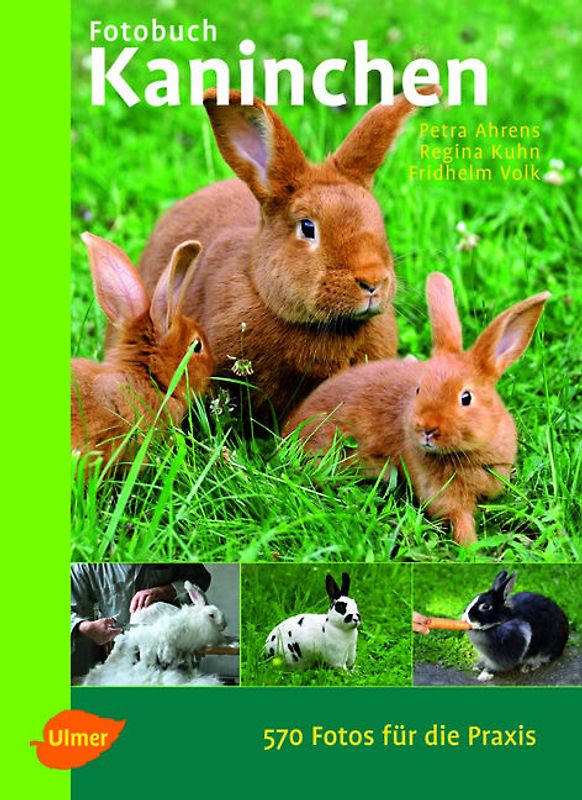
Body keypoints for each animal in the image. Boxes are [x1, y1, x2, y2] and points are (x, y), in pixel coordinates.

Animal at [285, 272, 550, 547]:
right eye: (419, 390)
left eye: (466, 398)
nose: (427, 428)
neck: (468, 452)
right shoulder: (445, 496)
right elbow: (459, 518)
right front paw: (471, 547)